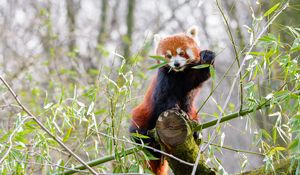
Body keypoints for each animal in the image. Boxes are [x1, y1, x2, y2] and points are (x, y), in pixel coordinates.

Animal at [130, 26, 214, 175]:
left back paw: (196, 131)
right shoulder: (164, 79)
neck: (179, 73)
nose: (176, 63)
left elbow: (200, 76)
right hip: (144, 113)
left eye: (182, 53)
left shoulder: (191, 77)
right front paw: (175, 109)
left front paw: (207, 57)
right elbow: (164, 99)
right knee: (137, 128)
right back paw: (144, 137)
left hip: (193, 112)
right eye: (168, 56)